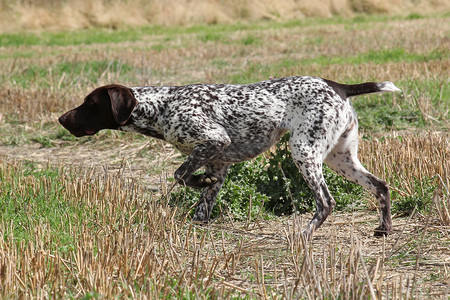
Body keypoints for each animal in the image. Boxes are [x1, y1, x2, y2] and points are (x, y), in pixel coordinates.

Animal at [58, 75, 400, 237]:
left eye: (90, 103)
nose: (61, 118)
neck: (161, 107)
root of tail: (338, 86)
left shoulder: (214, 140)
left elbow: (181, 174)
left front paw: (198, 182)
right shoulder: (218, 163)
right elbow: (203, 201)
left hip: (304, 152)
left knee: (326, 202)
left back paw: (303, 235)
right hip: (340, 159)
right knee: (380, 186)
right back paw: (383, 229)